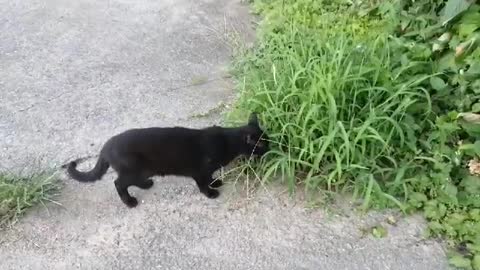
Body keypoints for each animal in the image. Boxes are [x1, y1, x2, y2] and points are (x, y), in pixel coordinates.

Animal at [65, 113, 268, 208]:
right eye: (263, 144)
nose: (271, 149)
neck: (227, 141)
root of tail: (106, 145)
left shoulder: (206, 171)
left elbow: (210, 177)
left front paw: (215, 182)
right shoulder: (199, 171)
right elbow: (203, 183)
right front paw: (210, 193)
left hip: (143, 169)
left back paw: (146, 184)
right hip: (133, 169)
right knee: (118, 183)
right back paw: (129, 202)